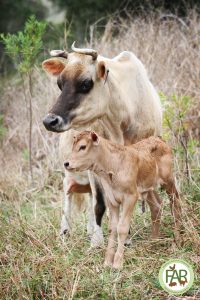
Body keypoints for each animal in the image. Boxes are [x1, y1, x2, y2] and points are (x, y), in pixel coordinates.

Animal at [42, 42, 162, 248]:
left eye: (85, 83)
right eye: (60, 83)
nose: (50, 121)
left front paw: (125, 237)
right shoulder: (93, 167)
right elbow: (99, 204)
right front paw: (97, 242)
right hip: (69, 176)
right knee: (70, 199)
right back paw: (65, 233)